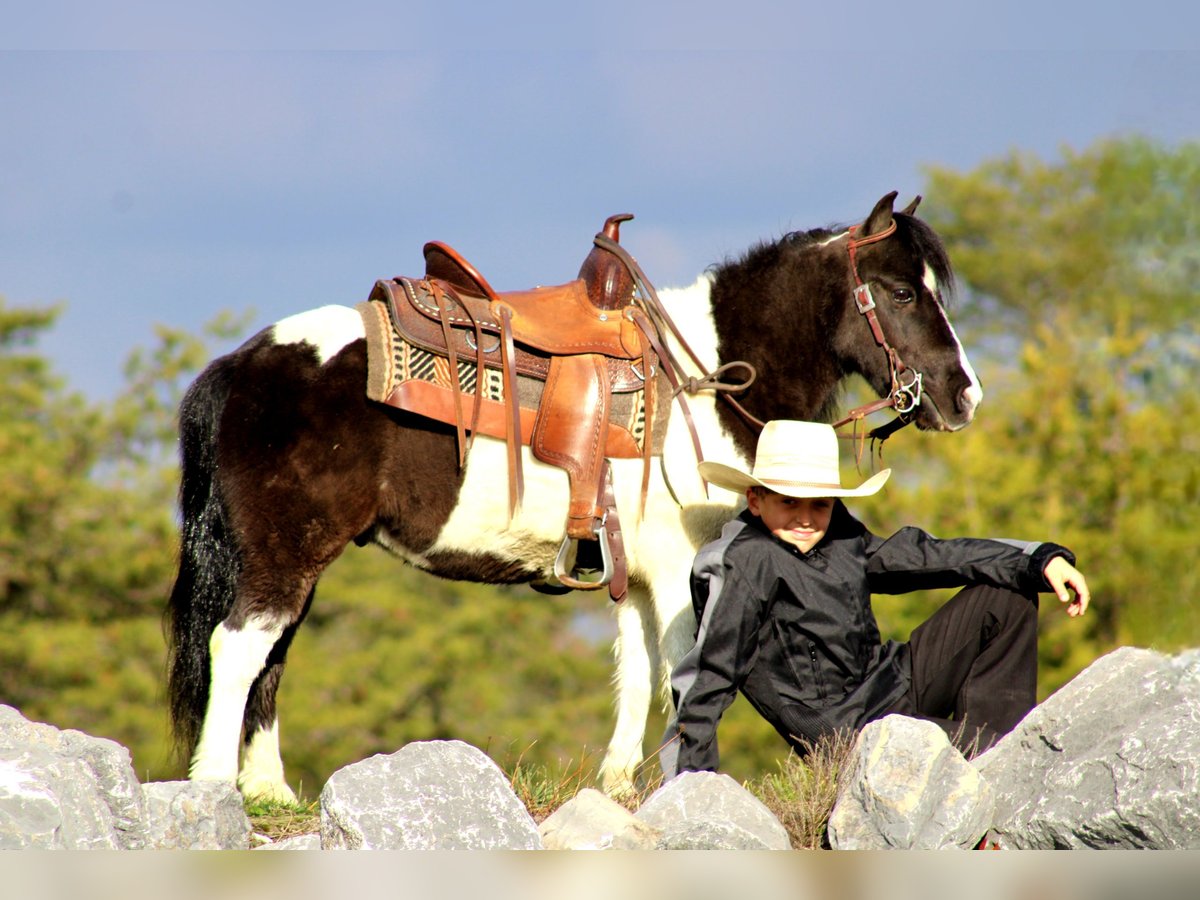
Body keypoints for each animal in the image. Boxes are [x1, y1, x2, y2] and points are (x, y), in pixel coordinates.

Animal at [165, 191, 982, 802]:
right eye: (902, 291)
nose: (963, 395)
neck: (709, 372)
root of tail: (243, 364)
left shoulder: (640, 572)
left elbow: (639, 668)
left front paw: (620, 783)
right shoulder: (684, 565)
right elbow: (678, 671)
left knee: (268, 662)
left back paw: (269, 790)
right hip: (284, 557)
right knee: (238, 650)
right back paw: (216, 786)